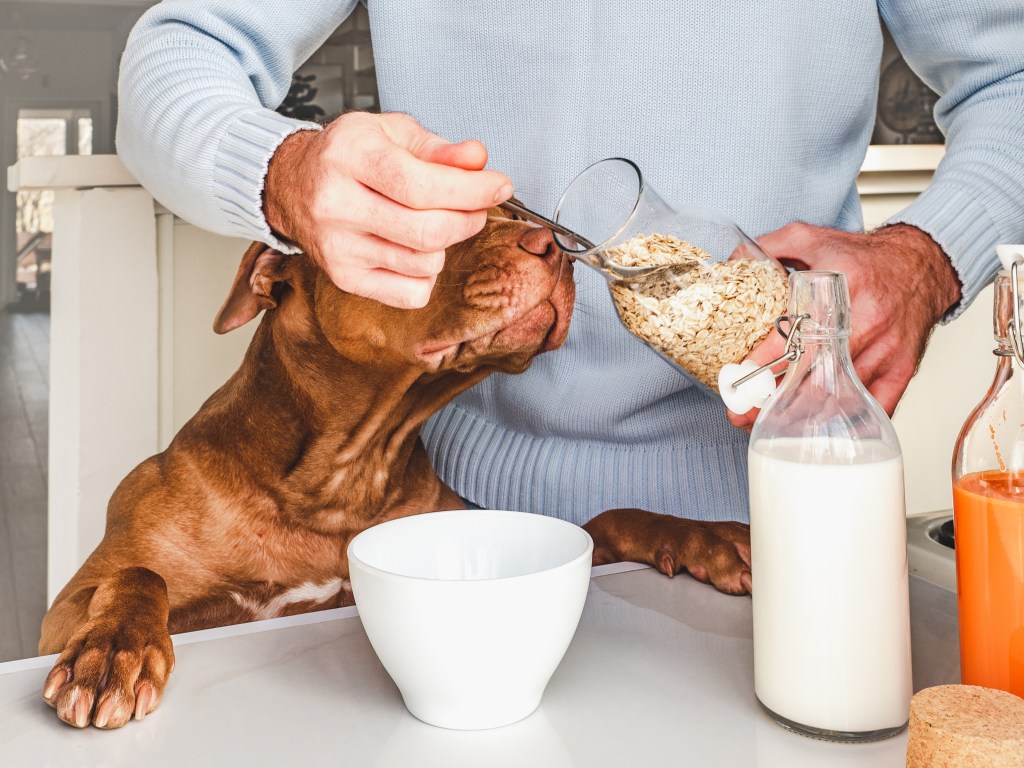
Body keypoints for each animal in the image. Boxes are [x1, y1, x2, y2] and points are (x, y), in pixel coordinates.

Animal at [37, 210, 753, 729]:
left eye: (519, 208)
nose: (554, 245)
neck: (340, 481)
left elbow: (609, 516)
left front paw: (709, 537)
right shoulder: (64, 614)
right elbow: (137, 574)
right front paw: (113, 654)